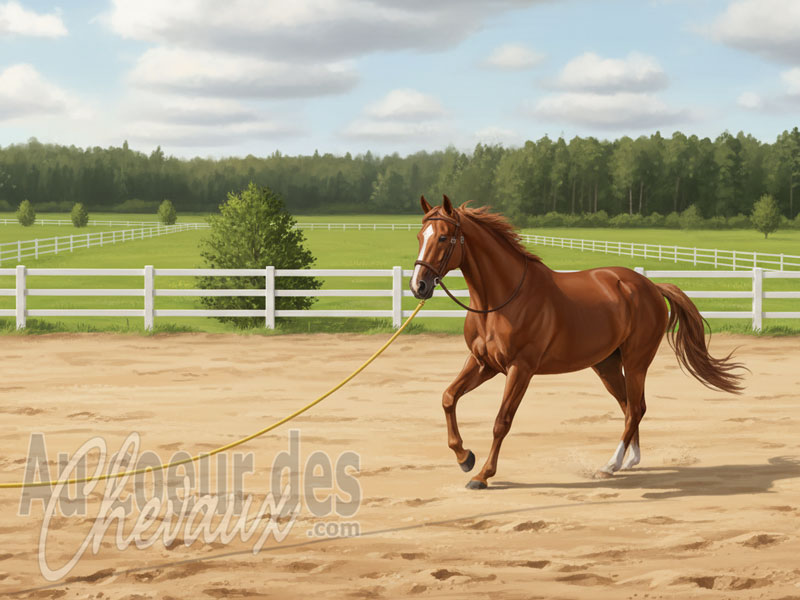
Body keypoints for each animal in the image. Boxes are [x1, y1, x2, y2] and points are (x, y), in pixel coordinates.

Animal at [410, 194, 744, 489]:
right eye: (419, 236)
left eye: (443, 238)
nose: (419, 286)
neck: (501, 301)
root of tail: (650, 285)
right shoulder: (484, 363)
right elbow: (448, 397)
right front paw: (464, 457)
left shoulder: (521, 368)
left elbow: (501, 421)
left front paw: (482, 475)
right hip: (607, 364)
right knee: (629, 406)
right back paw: (629, 461)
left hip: (636, 361)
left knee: (636, 408)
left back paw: (610, 465)